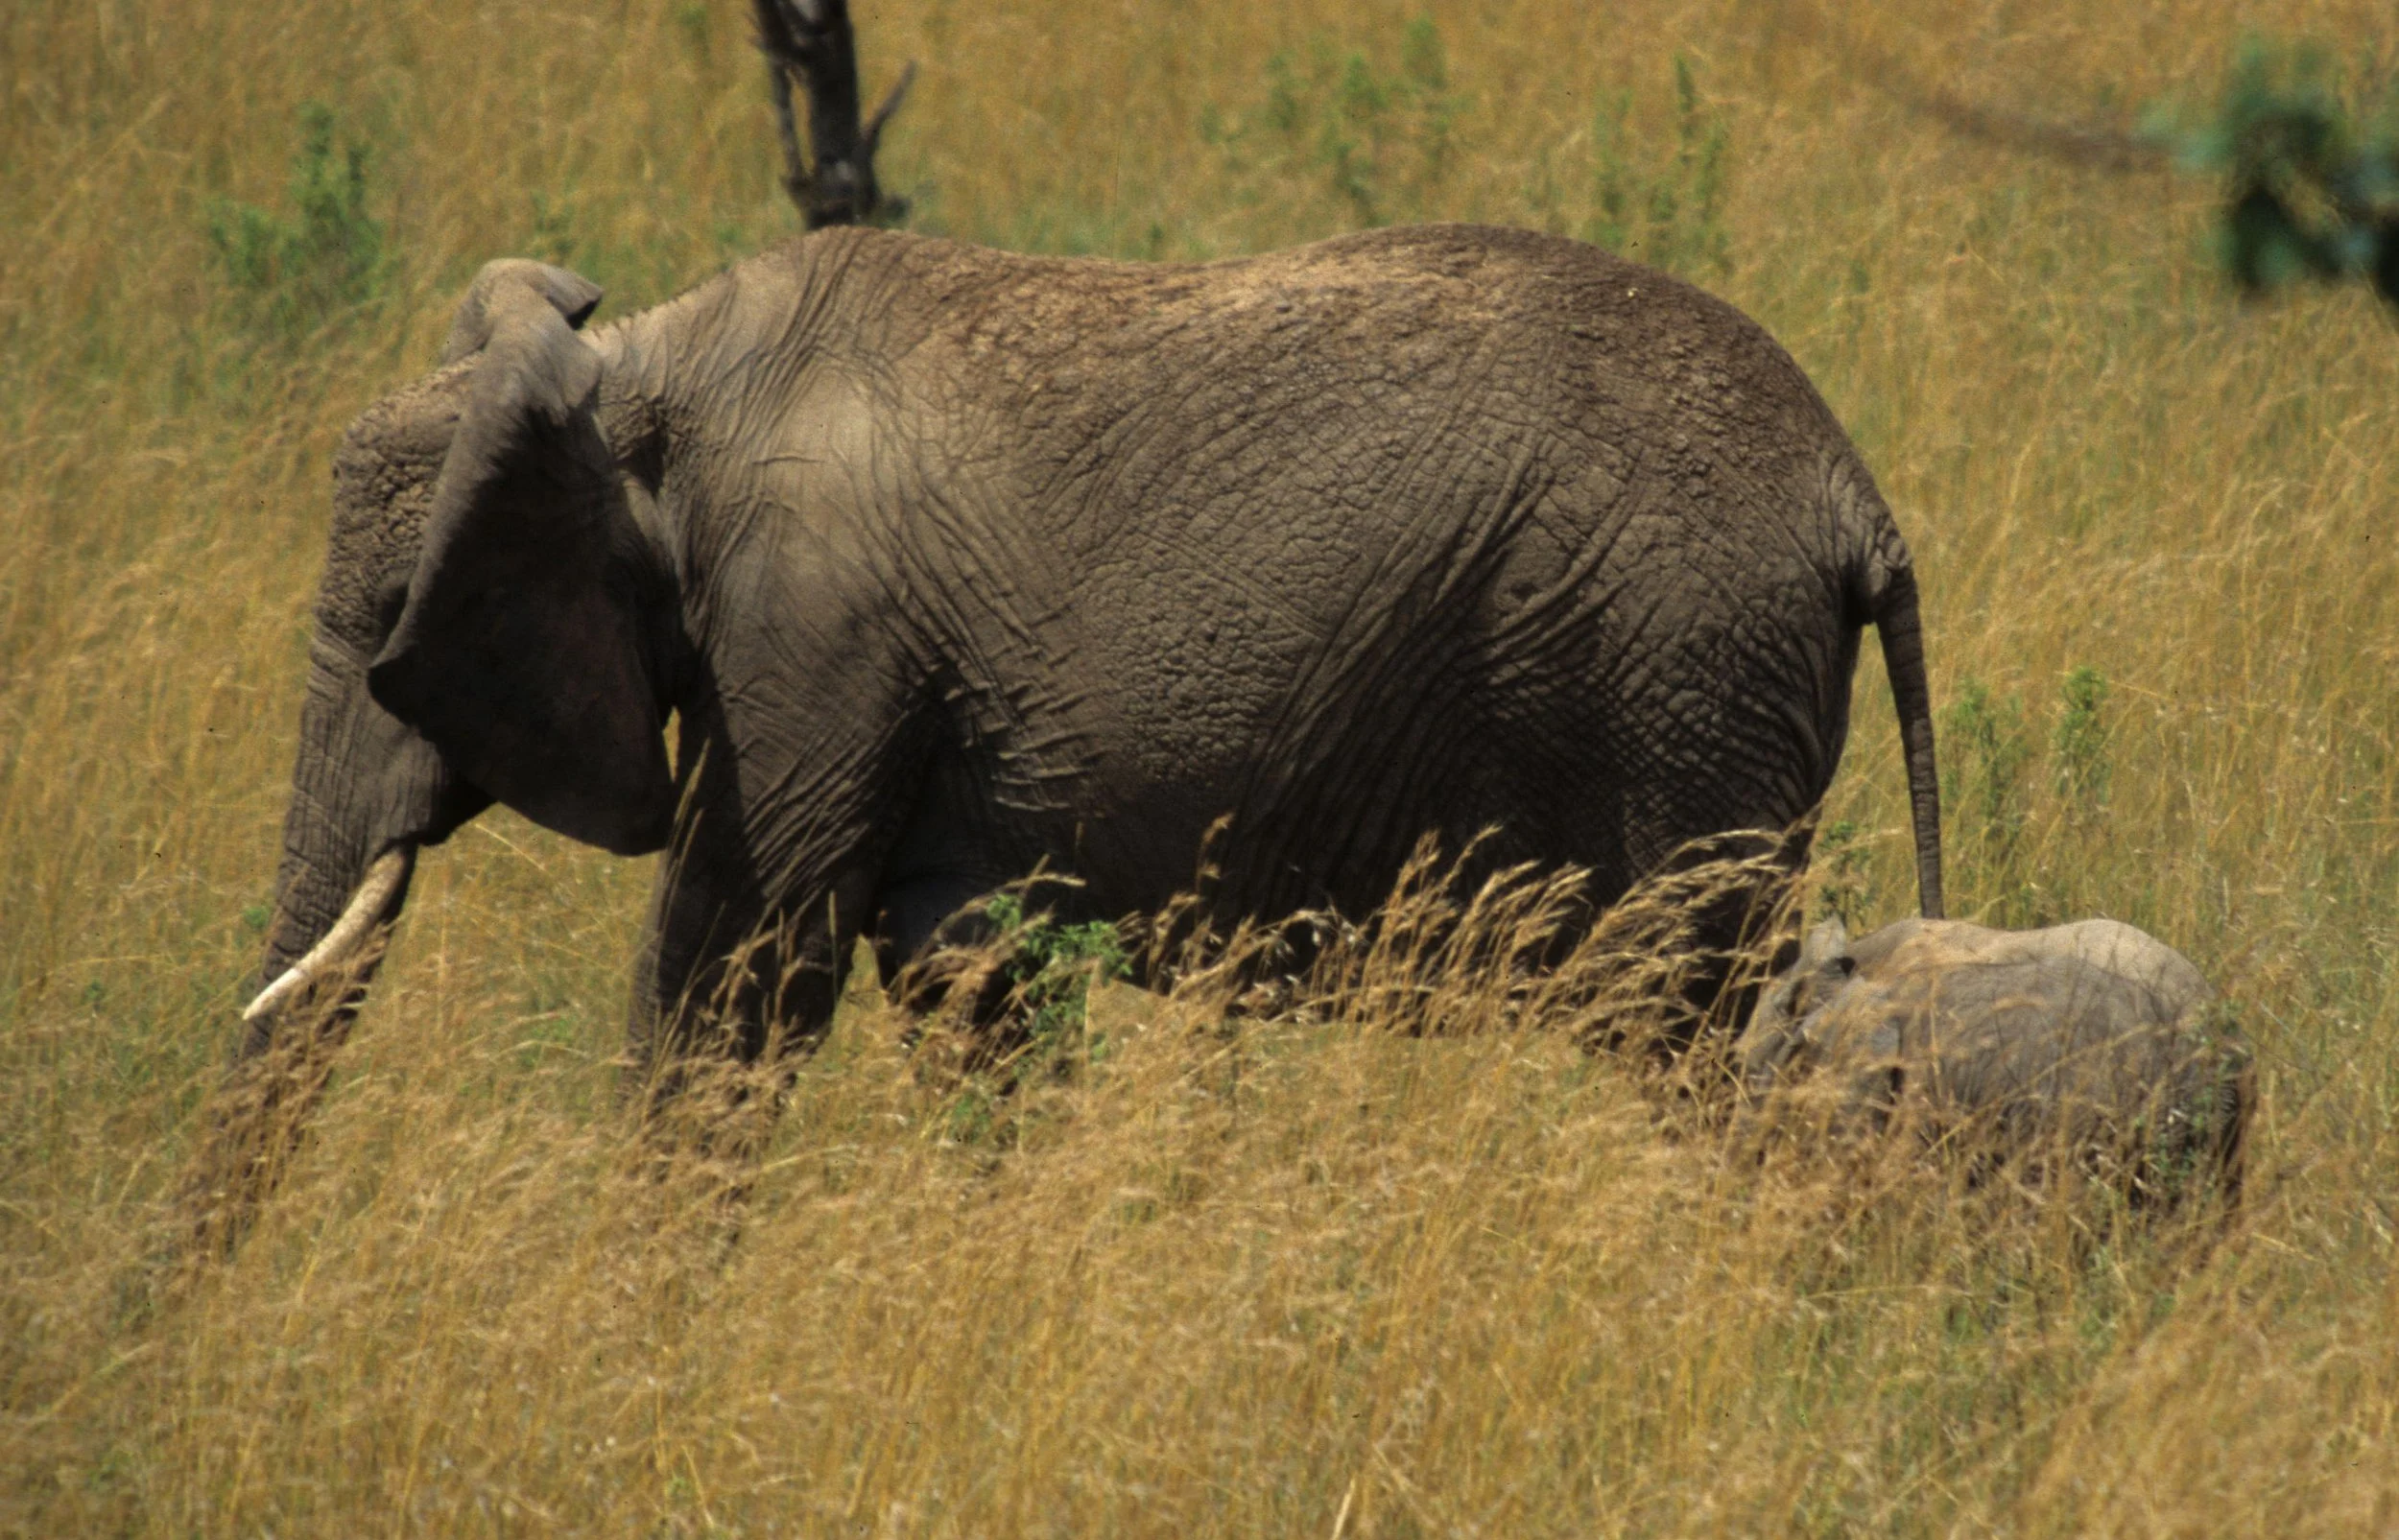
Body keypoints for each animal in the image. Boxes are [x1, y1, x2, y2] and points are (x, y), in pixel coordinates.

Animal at [230, 221, 1945, 1165]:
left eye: (390, 636)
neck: (652, 373)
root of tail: (1857, 497)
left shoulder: (811, 639)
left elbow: (736, 978)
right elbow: (963, 979)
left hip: (1675, 688)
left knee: (1680, 1022)